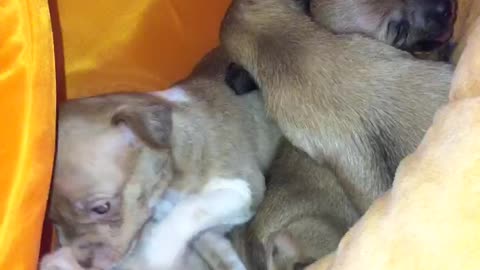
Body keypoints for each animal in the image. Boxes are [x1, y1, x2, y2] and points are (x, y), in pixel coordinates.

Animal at [42, 47, 282, 268]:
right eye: (53, 220)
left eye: (102, 208)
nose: (85, 264)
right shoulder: (208, 237)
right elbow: (223, 256)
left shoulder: (243, 188)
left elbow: (190, 209)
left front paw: (156, 250)